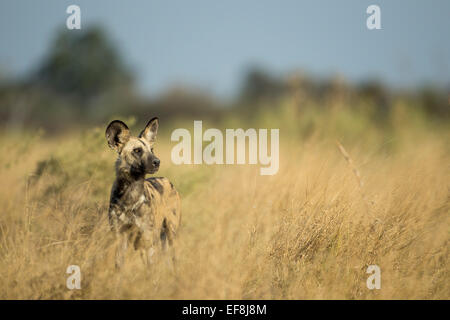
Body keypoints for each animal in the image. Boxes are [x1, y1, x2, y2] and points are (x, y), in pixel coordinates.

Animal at [105, 117, 181, 268]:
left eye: (152, 149)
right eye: (137, 150)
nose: (157, 161)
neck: (130, 195)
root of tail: (167, 180)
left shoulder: (147, 239)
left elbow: (150, 271)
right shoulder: (120, 239)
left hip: (170, 236)